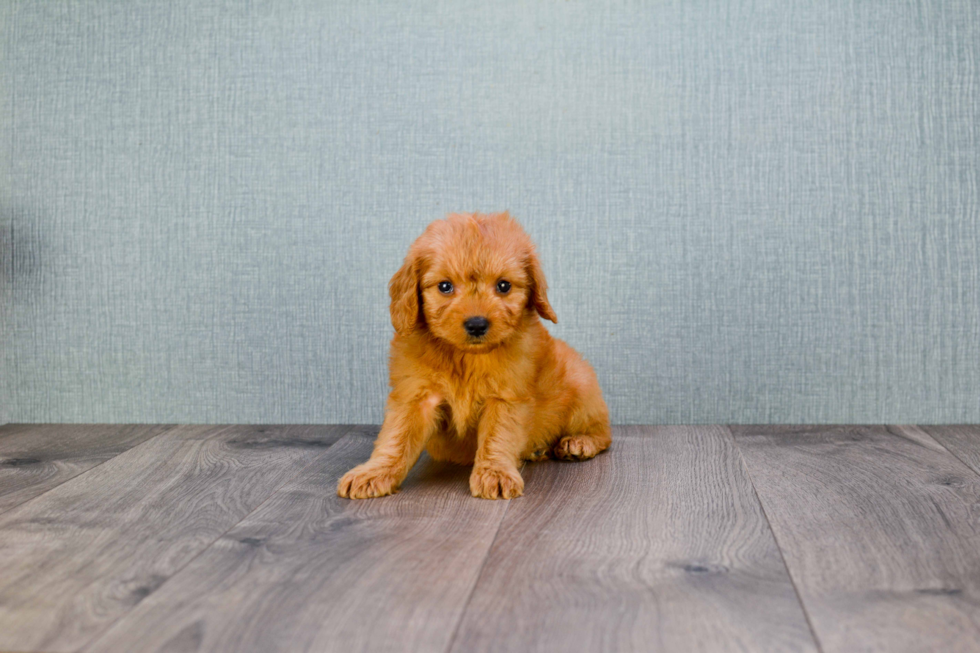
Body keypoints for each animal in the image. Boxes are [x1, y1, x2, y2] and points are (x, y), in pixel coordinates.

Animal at [340, 211, 608, 496]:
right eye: (445, 286)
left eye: (504, 286)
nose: (477, 324)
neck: (465, 357)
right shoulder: (415, 397)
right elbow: (396, 438)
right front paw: (375, 472)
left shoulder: (505, 397)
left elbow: (497, 437)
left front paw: (495, 473)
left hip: (582, 391)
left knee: (603, 431)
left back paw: (579, 442)